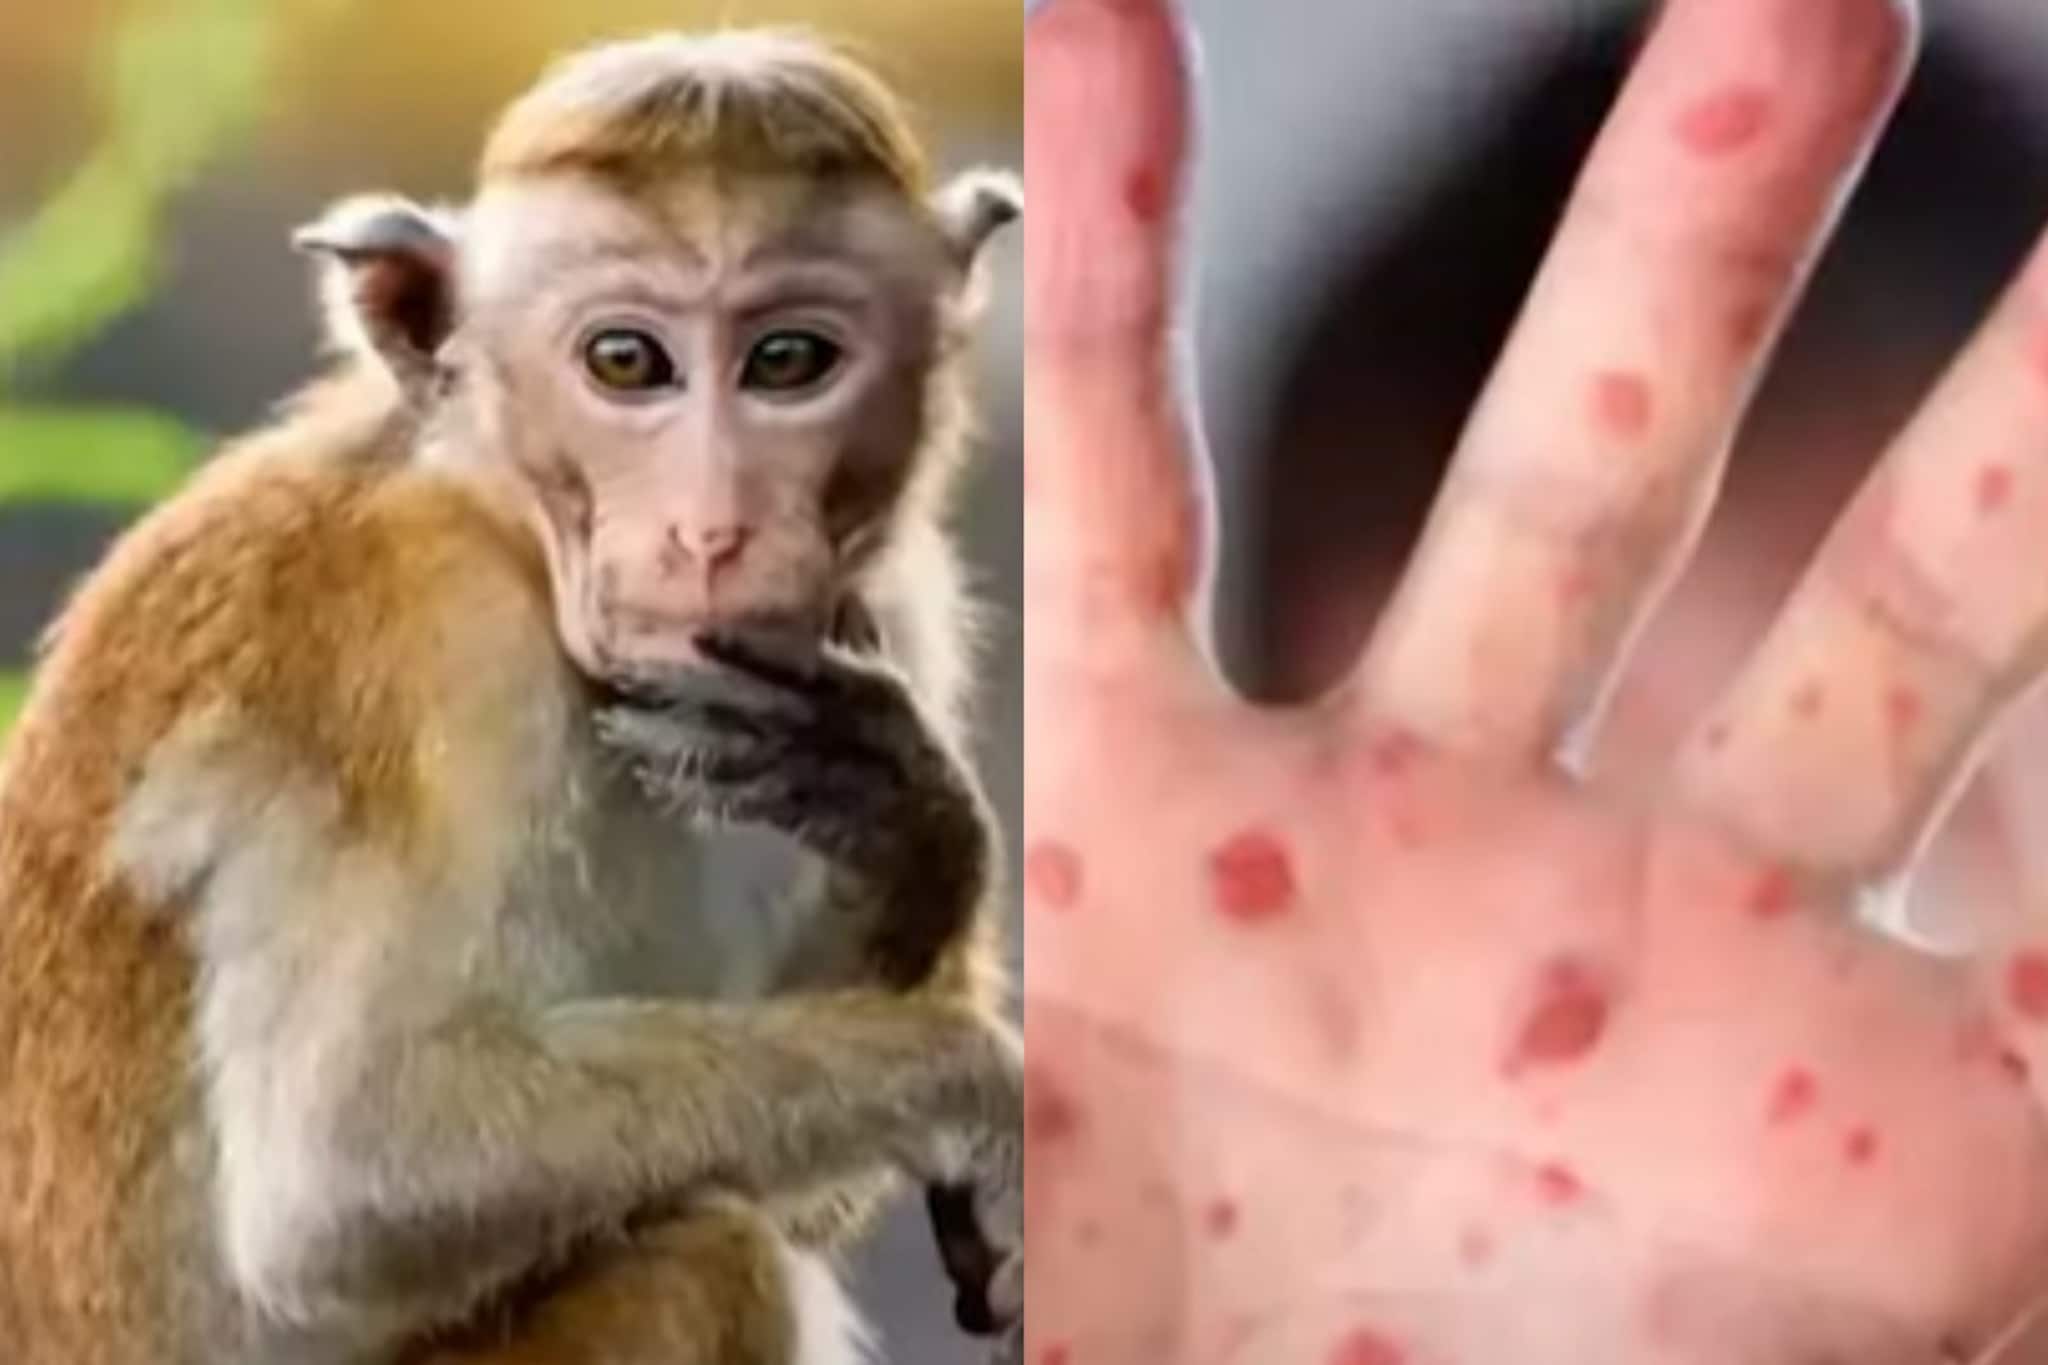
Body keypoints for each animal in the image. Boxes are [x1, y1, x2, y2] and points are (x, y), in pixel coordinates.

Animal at [0, 29, 1023, 1365]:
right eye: (624, 362)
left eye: (789, 360)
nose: (711, 532)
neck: (508, 521)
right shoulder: (435, 646)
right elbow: (343, 1175)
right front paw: (971, 1076)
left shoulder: (890, 617)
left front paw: (909, 826)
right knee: (712, 1260)